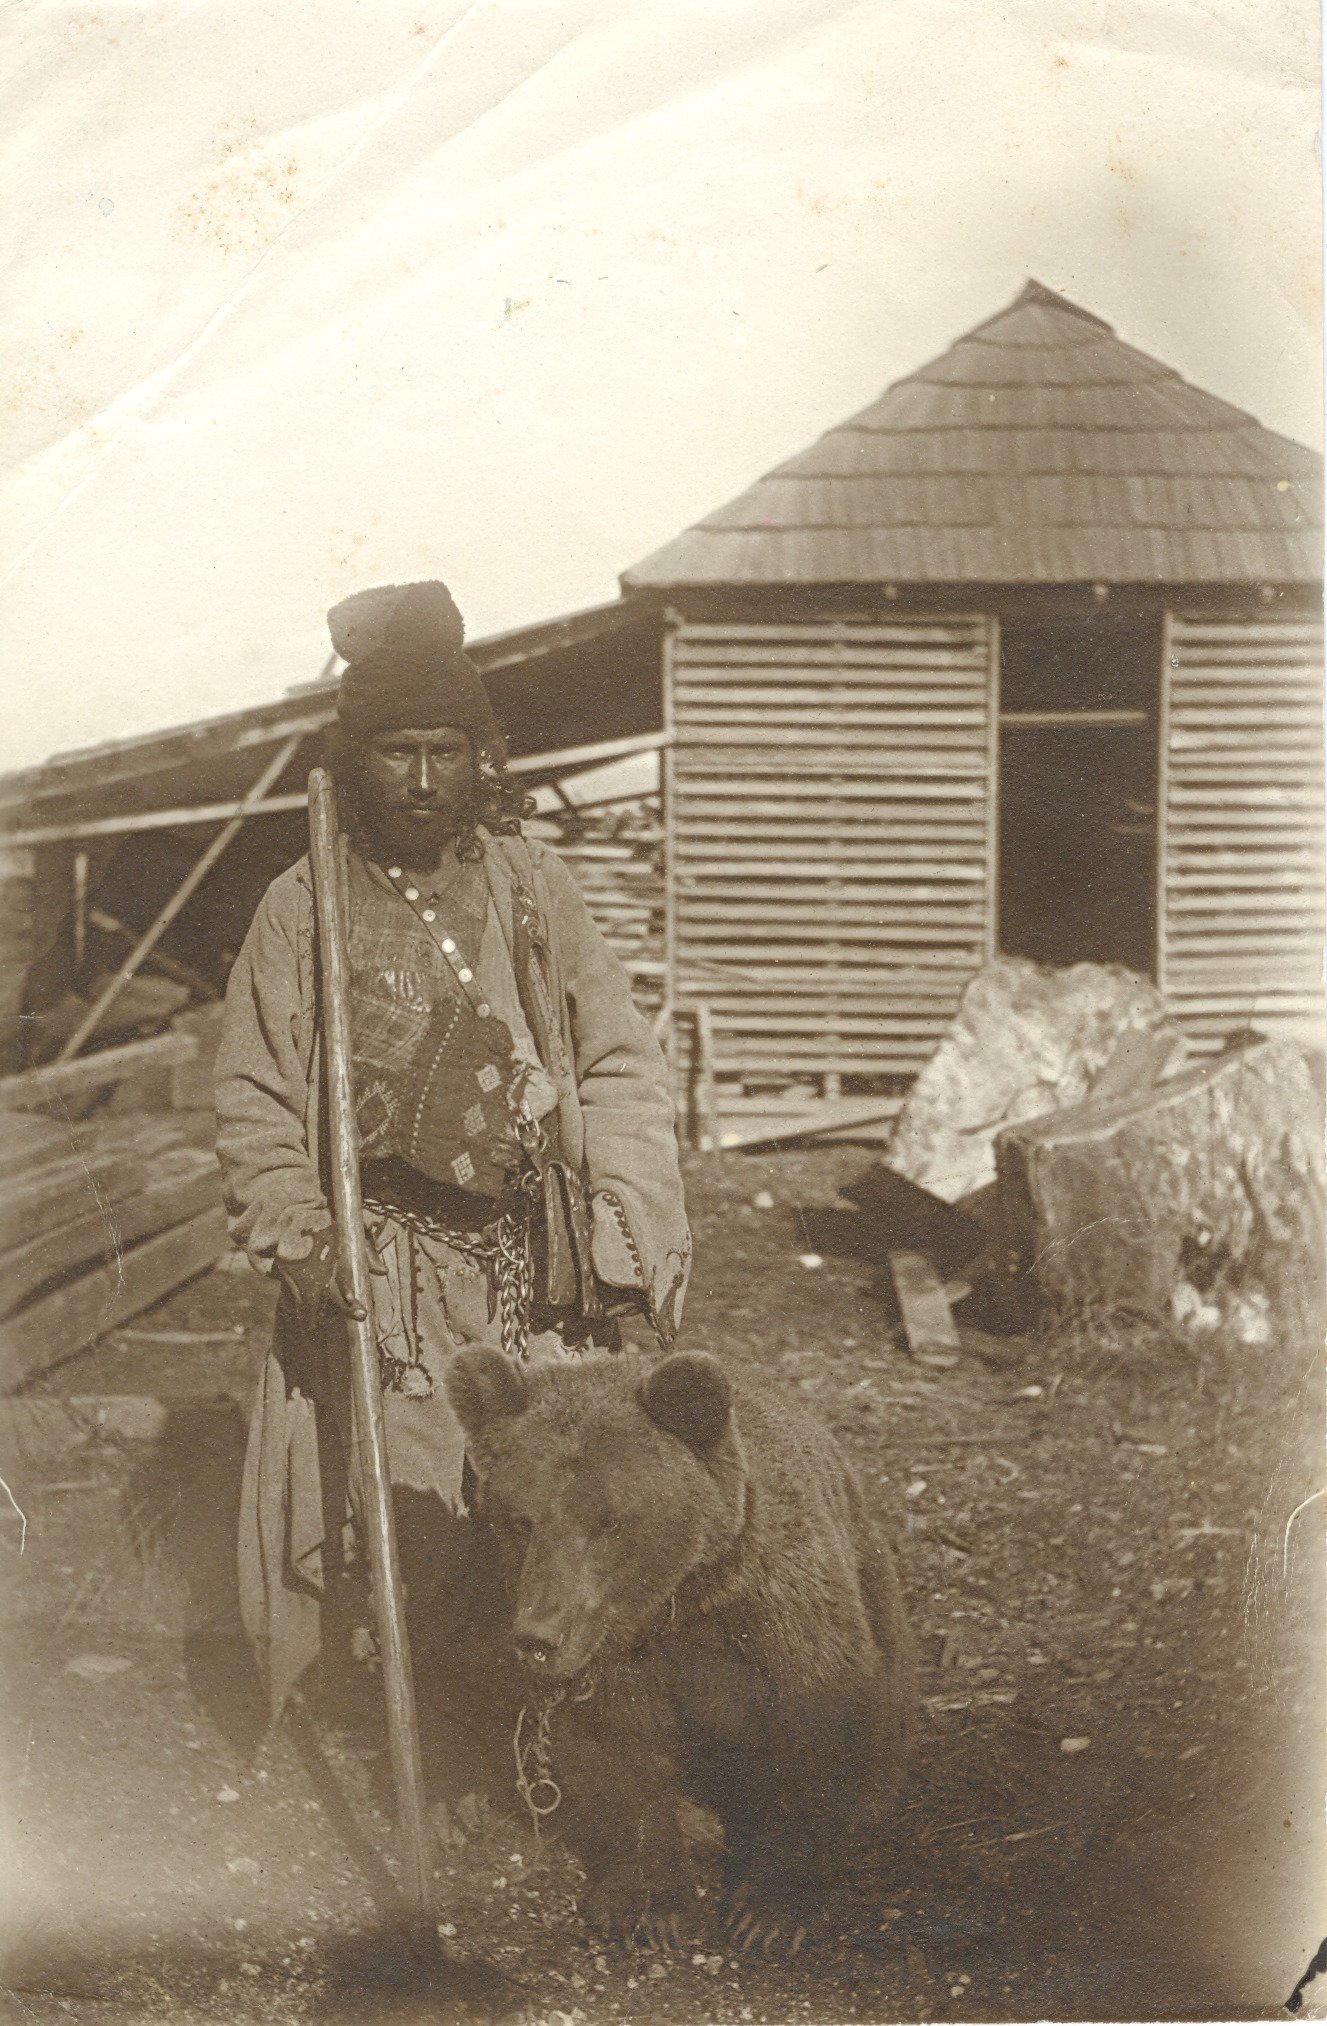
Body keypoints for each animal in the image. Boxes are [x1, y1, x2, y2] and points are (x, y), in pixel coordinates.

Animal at [445, 1345, 915, 1944]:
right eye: (520, 1521)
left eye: (610, 1522)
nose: (538, 1637)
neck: (678, 1604)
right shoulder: (612, 1658)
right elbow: (620, 1757)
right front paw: (653, 1903)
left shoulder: (778, 1611)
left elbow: (815, 1726)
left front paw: (768, 1912)